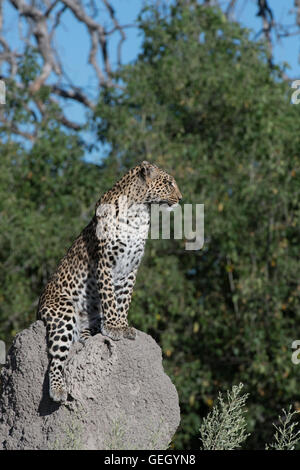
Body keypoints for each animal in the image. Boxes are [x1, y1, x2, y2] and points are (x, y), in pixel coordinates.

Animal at [37, 160, 183, 402]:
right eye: (169, 183)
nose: (181, 198)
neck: (139, 212)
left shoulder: (131, 267)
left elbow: (123, 299)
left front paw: (122, 326)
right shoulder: (104, 262)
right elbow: (109, 298)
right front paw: (114, 327)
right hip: (64, 311)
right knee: (56, 358)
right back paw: (58, 389)